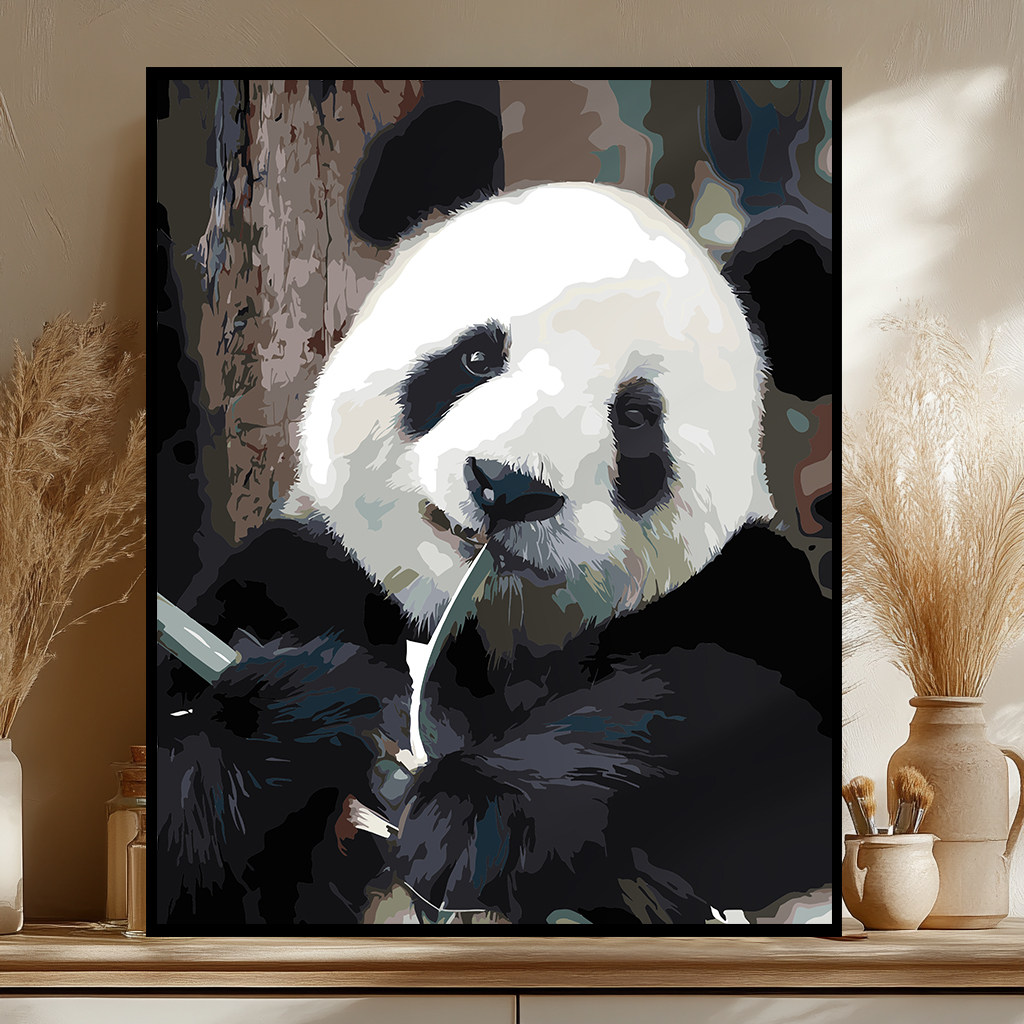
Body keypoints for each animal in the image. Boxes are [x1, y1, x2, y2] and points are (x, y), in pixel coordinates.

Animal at [156, 182, 832, 929]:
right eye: (477, 358)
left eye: (634, 416)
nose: (508, 487)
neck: (486, 636)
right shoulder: (301, 577)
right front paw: (297, 714)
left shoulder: (748, 591)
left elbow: (749, 727)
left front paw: (475, 816)